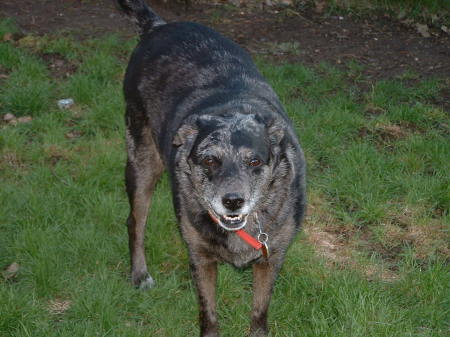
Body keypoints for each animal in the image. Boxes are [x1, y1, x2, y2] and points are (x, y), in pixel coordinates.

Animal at [116, 1, 306, 334]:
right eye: (208, 160)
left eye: (254, 161)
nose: (233, 201)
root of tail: (159, 26)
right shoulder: (200, 257)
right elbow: (209, 313)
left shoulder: (271, 258)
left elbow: (259, 312)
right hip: (141, 160)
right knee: (135, 222)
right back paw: (140, 274)